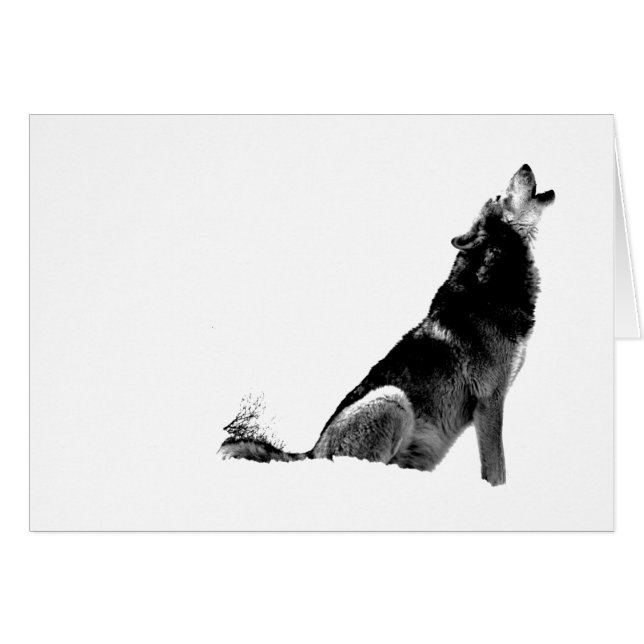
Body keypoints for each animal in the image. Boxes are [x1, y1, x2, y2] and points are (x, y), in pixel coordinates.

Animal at [219, 164, 555, 485]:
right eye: (499, 196)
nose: (525, 165)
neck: (493, 286)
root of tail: (312, 452)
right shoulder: (489, 402)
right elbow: (497, 471)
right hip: (393, 400)